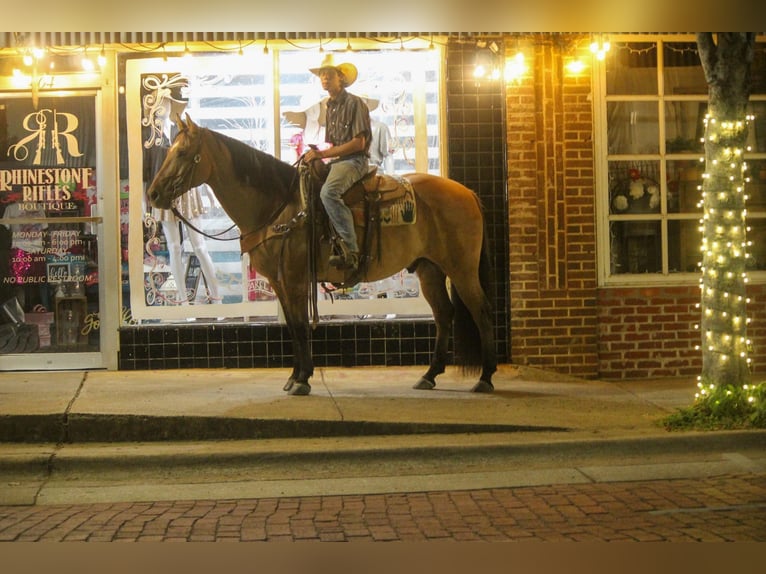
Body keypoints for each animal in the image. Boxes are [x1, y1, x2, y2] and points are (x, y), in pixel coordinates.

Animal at [148, 115, 498, 398]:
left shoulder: (295, 279)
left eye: (181, 153)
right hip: (430, 269)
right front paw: (294, 377)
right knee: (443, 314)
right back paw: (429, 375)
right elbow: (292, 325)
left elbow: (302, 326)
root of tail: (467, 193)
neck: (279, 205)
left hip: (462, 270)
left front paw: (302, 380)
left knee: (480, 311)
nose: (153, 194)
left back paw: (485, 377)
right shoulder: (279, 281)